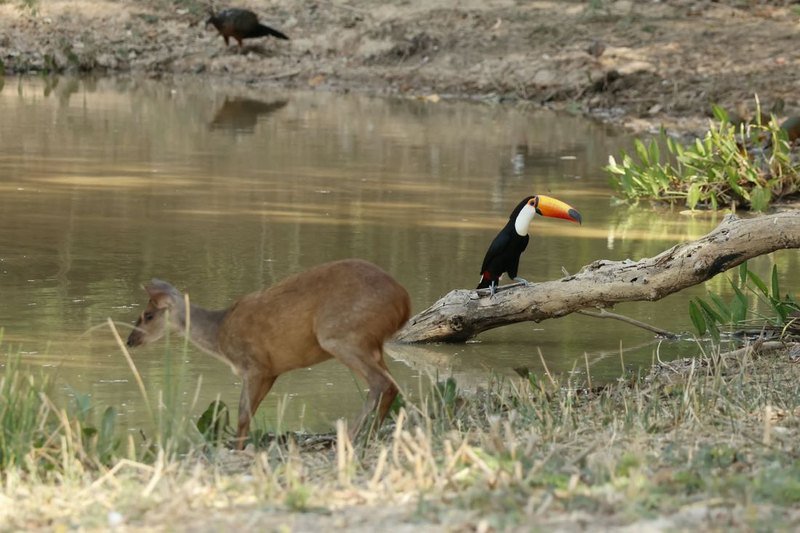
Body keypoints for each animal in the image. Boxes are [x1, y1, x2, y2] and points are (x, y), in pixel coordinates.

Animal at [126, 259, 411, 449]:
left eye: (148, 315)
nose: (130, 340)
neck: (219, 335)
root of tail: (404, 302)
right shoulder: (270, 371)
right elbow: (248, 415)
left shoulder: (254, 365)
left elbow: (242, 413)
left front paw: (238, 450)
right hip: (371, 344)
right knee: (393, 385)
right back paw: (372, 435)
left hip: (340, 335)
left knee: (380, 383)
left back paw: (351, 438)